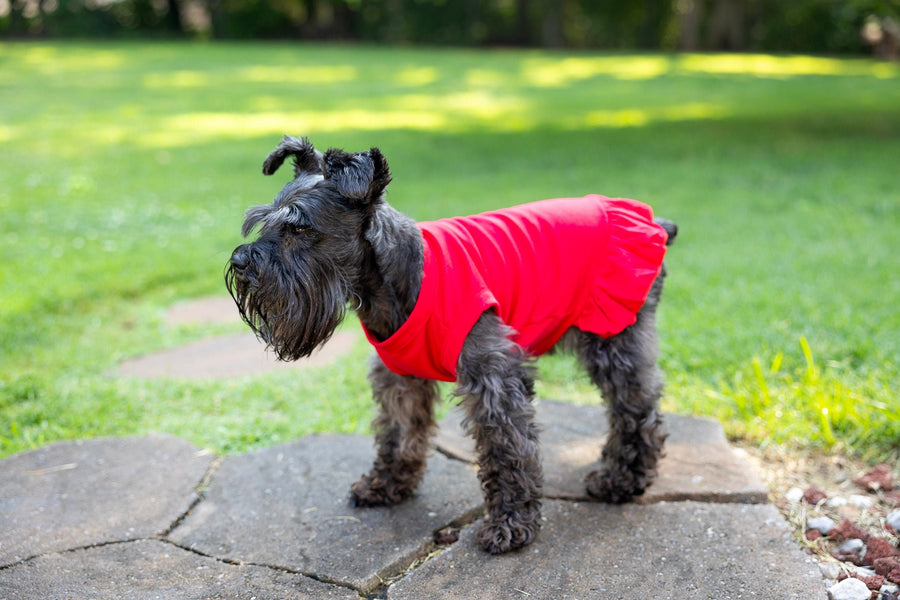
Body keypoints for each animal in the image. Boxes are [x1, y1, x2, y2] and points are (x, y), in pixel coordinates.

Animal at [225, 136, 676, 552]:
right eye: (263, 221)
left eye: (301, 228)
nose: (241, 262)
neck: (397, 277)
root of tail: (654, 221)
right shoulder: (399, 378)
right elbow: (398, 433)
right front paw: (386, 485)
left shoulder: (493, 379)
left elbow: (506, 447)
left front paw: (510, 524)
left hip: (614, 339)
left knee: (636, 410)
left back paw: (620, 481)